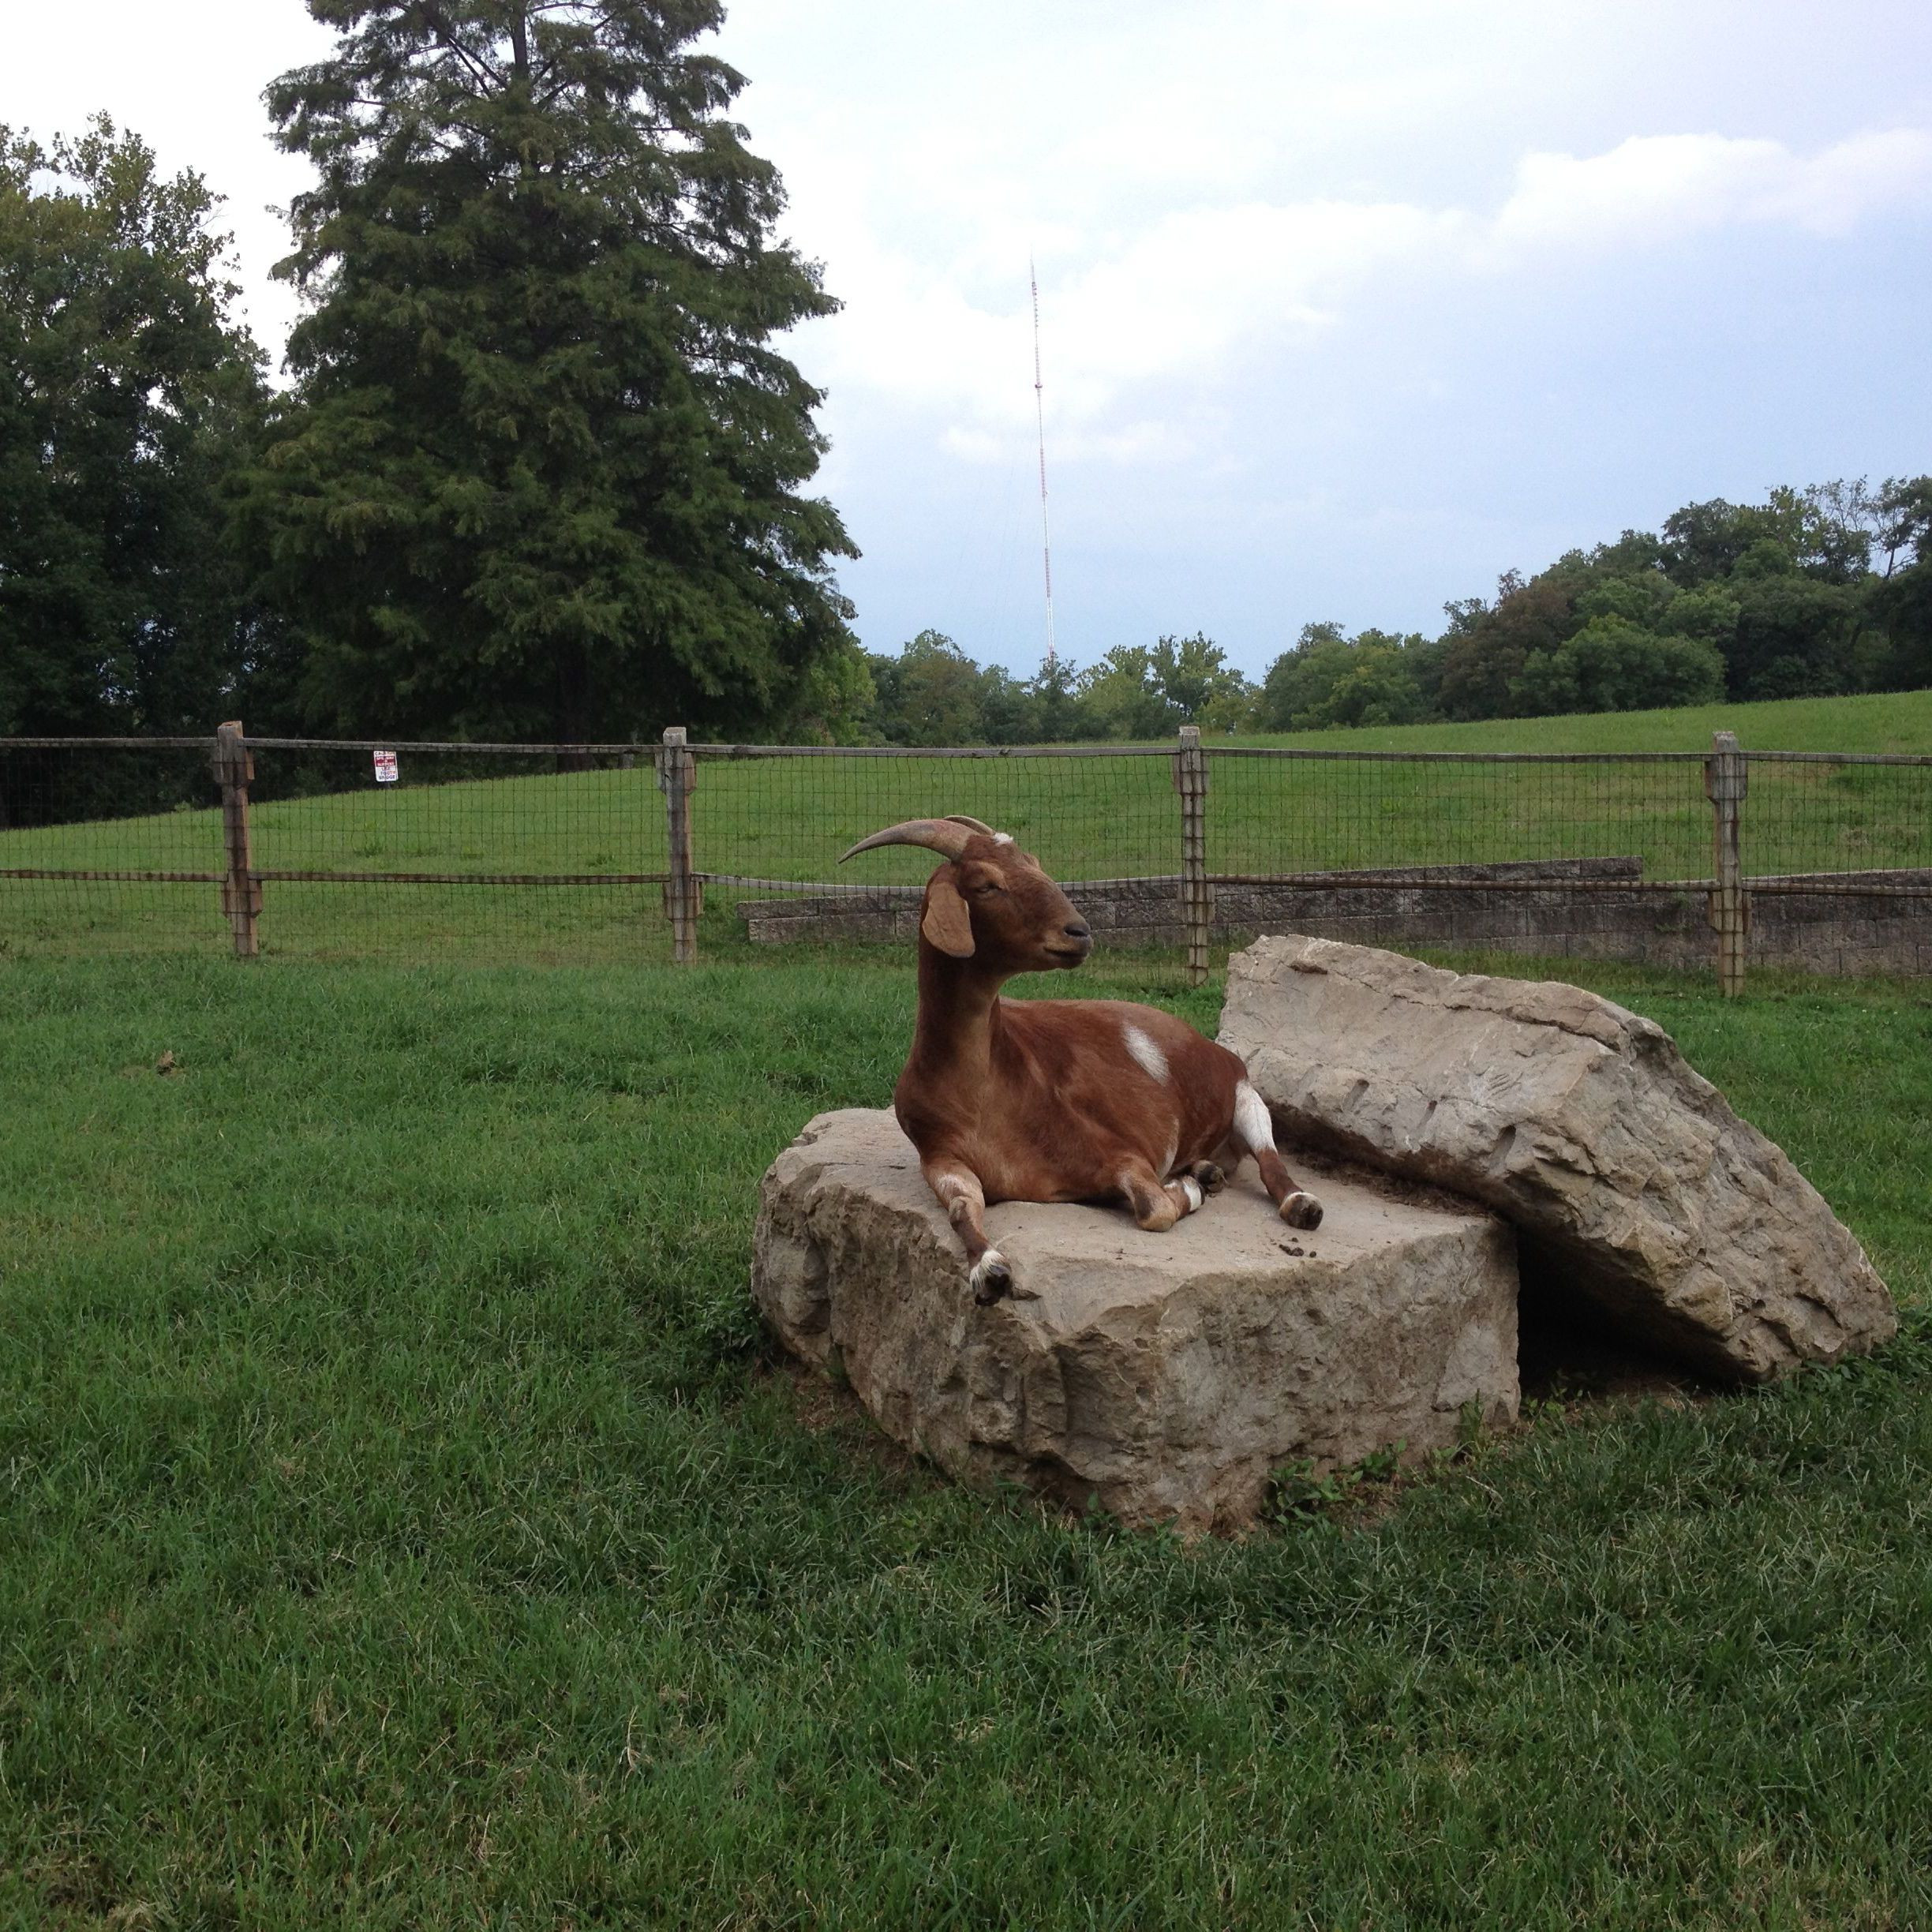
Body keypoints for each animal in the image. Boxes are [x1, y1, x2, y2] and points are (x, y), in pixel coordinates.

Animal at [846, 811, 1329, 1298]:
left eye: (1035, 864)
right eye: (986, 884)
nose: (1079, 931)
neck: (984, 1093)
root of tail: (1197, 1038)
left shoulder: (1122, 1151)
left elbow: (1156, 1209)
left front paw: (1188, 1191)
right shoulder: (941, 1156)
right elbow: (962, 1206)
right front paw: (988, 1266)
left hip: (1244, 1090)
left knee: (1269, 1157)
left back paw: (1298, 1203)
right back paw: (1209, 1170)